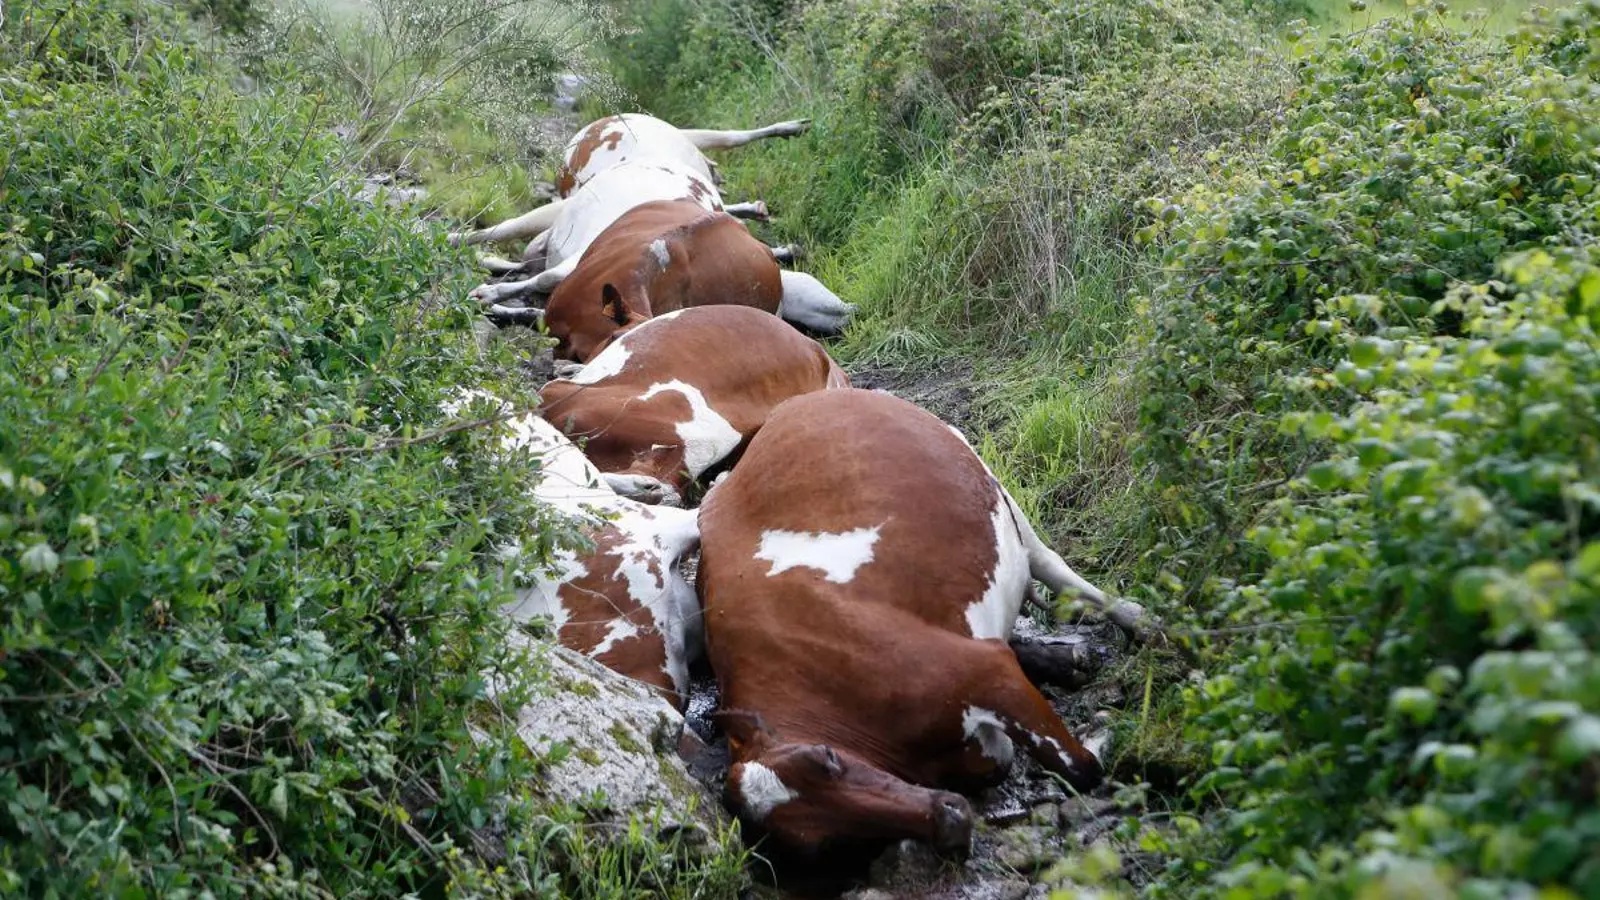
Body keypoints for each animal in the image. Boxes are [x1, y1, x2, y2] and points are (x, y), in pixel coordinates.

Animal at [695, 388, 1109, 857]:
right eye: (827, 843)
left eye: (826, 759)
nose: (950, 819)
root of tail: (801, 401)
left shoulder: (984, 671)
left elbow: (1080, 769)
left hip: (992, 482)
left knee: (1053, 565)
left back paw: (1138, 621)